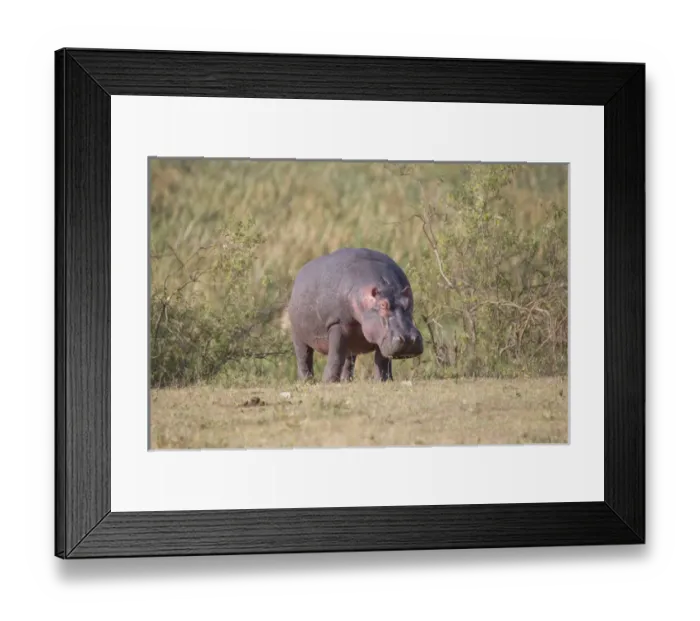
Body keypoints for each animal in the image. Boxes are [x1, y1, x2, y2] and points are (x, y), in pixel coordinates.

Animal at [286, 247, 424, 382]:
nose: (409, 339)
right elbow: (335, 355)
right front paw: (328, 381)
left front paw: (383, 381)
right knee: (304, 357)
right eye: (383, 305)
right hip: (298, 335)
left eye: (408, 302)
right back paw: (307, 381)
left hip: (352, 340)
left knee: (348, 361)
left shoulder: (380, 335)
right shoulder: (337, 323)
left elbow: (382, 360)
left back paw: (347, 381)